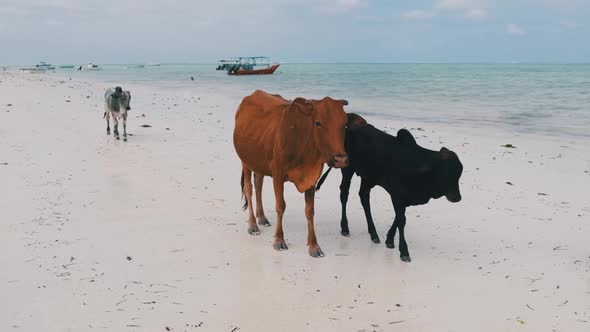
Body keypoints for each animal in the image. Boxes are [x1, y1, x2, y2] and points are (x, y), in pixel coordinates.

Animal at [235, 89, 352, 258]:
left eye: (344, 124)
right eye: (318, 123)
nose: (340, 159)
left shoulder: (312, 179)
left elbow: (310, 211)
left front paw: (314, 246)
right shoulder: (277, 175)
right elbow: (280, 206)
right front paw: (279, 240)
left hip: (259, 164)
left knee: (258, 186)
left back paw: (261, 217)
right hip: (246, 161)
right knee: (249, 188)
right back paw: (253, 225)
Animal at [320, 119, 462, 262]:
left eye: (458, 174)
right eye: (446, 173)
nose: (457, 198)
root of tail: (349, 130)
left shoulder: (404, 198)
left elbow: (399, 218)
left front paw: (389, 240)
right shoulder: (397, 195)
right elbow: (401, 219)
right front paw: (404, 251)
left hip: (368, 178)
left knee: (364, 197)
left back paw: (374, 234)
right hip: (348, 169)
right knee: (344, 194)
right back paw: (345, 228)